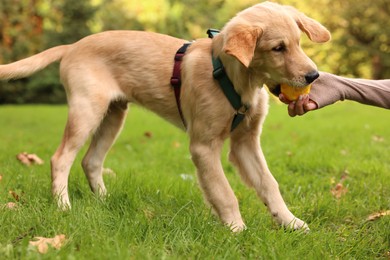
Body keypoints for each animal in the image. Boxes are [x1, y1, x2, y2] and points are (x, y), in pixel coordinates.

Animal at [0, 1, 330, 230]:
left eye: (298, 42)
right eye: (278, 48)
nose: (313, 76)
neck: (234, 78)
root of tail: (73, 45)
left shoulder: (245, 143)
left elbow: (268, 184)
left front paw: (290, 222)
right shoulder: (203, 146)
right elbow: (224, 191)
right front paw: (236, 229)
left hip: (114, 114)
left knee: (90, 161)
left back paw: (104, 201)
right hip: (87, 110)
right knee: (61, 159)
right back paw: (63, 206)